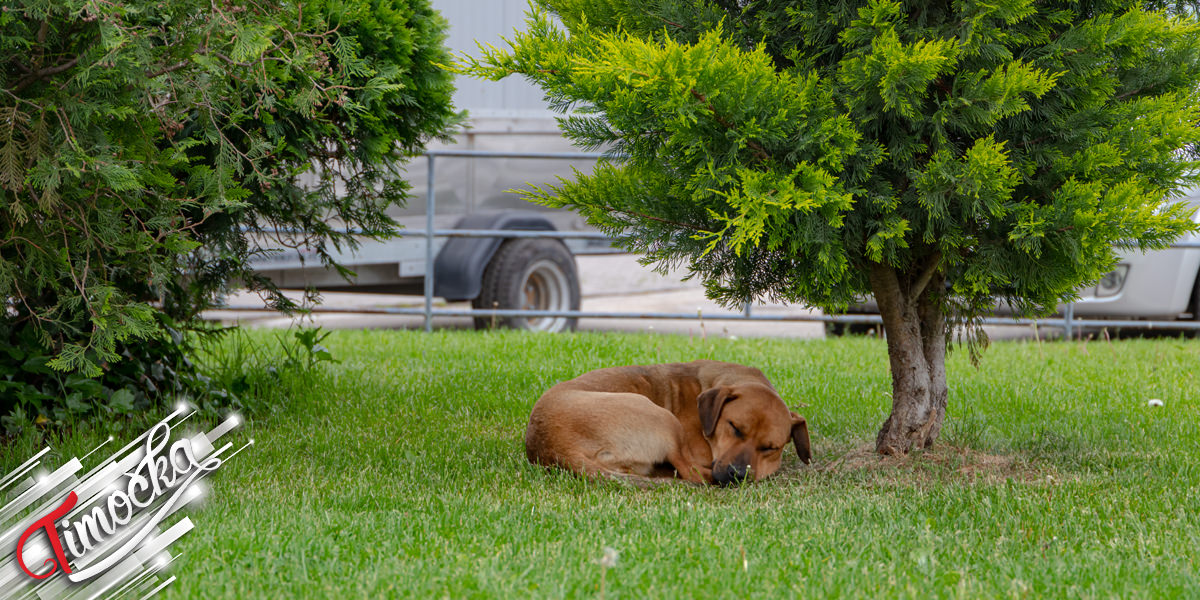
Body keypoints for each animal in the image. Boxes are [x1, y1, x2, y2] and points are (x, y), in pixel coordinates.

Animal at [523, 360, 811, 482]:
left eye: (770, 448)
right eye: (734, 427)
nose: (736, 474)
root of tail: (557, 449)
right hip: (662, 417)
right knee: (691, 473)